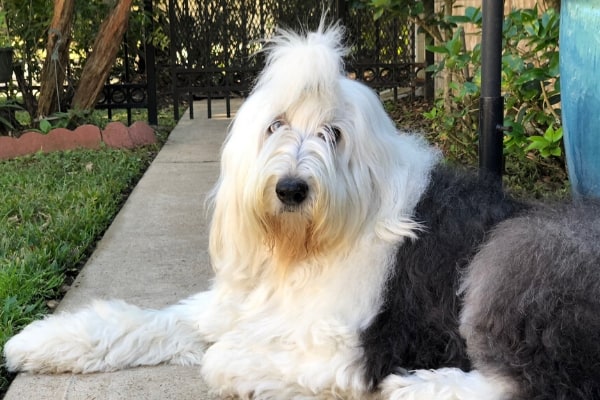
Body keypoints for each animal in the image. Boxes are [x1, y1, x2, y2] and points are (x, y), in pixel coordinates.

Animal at [4, 22, 600, 400]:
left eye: (333, 134)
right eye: (276, 124)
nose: (291, 188)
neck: (305, 248)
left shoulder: (354, 339)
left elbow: (224, 356)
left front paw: (236, 365)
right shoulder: (240, 306)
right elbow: (150, 321)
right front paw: (41, 341)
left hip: (519, 255)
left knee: (533, 384)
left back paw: (419, 386)